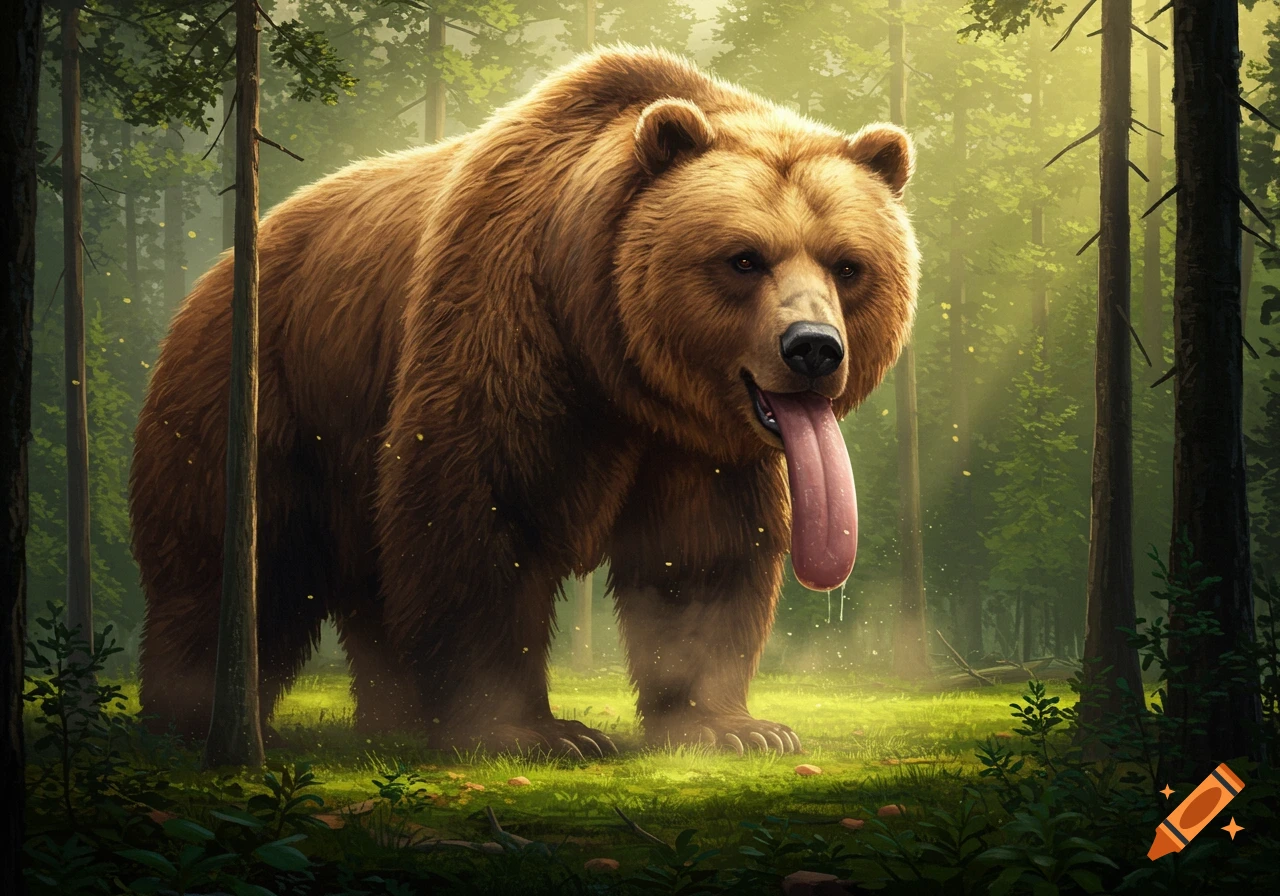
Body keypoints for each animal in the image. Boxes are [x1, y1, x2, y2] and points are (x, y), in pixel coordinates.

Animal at [130, 45, 918, 757]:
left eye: (849, 265)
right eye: (744, 258)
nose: (813, 348)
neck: (620, 367)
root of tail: (218, 271)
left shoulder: (697, 444)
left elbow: (702, 555)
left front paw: (735, 727)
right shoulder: (507, 328)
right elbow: (484, 515)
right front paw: (538, 733)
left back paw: (396, 723)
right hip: (263, 396)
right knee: (232, 562)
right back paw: (195, 717)